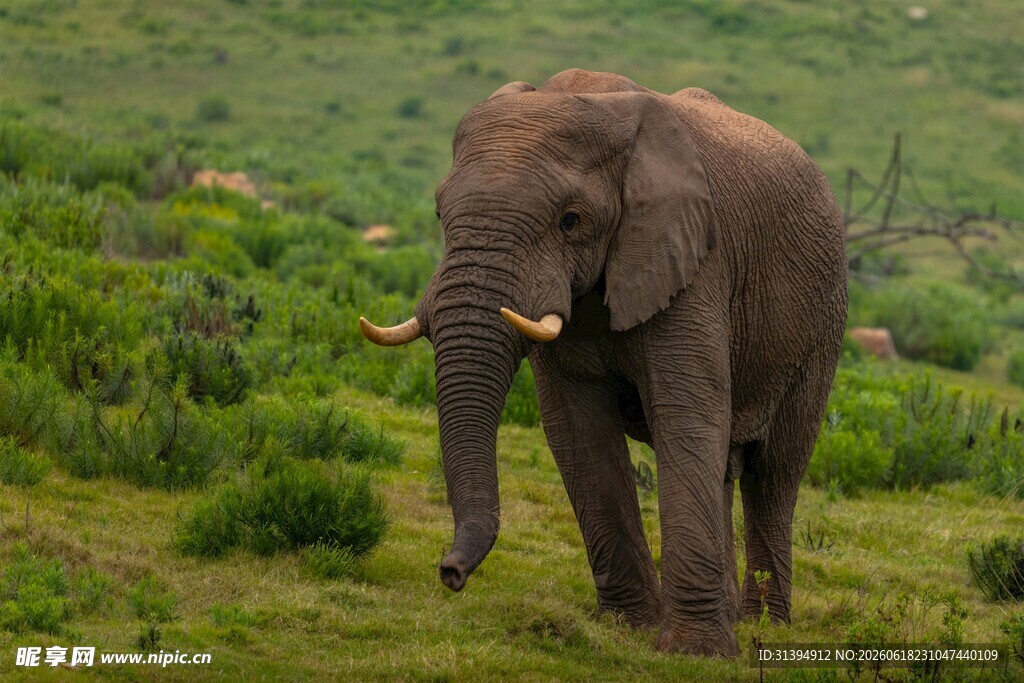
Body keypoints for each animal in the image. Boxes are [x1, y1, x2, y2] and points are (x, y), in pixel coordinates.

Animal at [359, 69, 848, 656]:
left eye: (570, 221)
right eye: (438, 213)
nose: (449, 573)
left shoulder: (693, 262)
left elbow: (686, 416)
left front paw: (695, 652)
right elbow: (578, 430)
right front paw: (629, 628)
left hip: (821, 324)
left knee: (773, 475)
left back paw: (763, 630)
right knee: (729, 469)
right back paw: (736, 617)